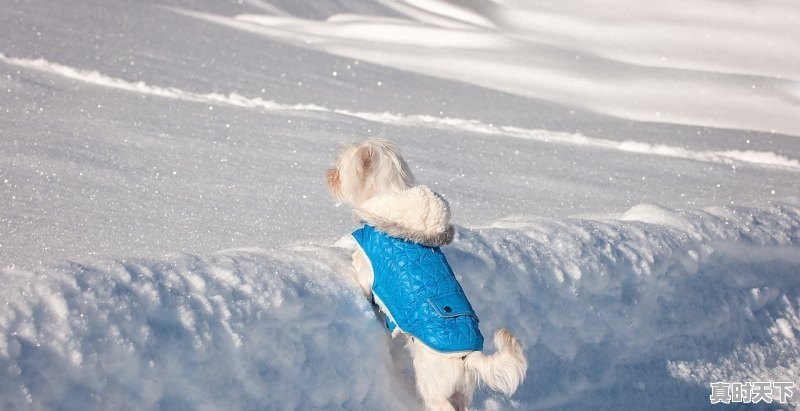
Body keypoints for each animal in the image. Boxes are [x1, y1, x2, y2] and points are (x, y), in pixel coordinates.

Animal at [328, 140, 528, 410]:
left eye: (340, 166)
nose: (330, 175)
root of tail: (467, 358)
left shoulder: (368, 272)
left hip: (432, 385)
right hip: (461, 391)